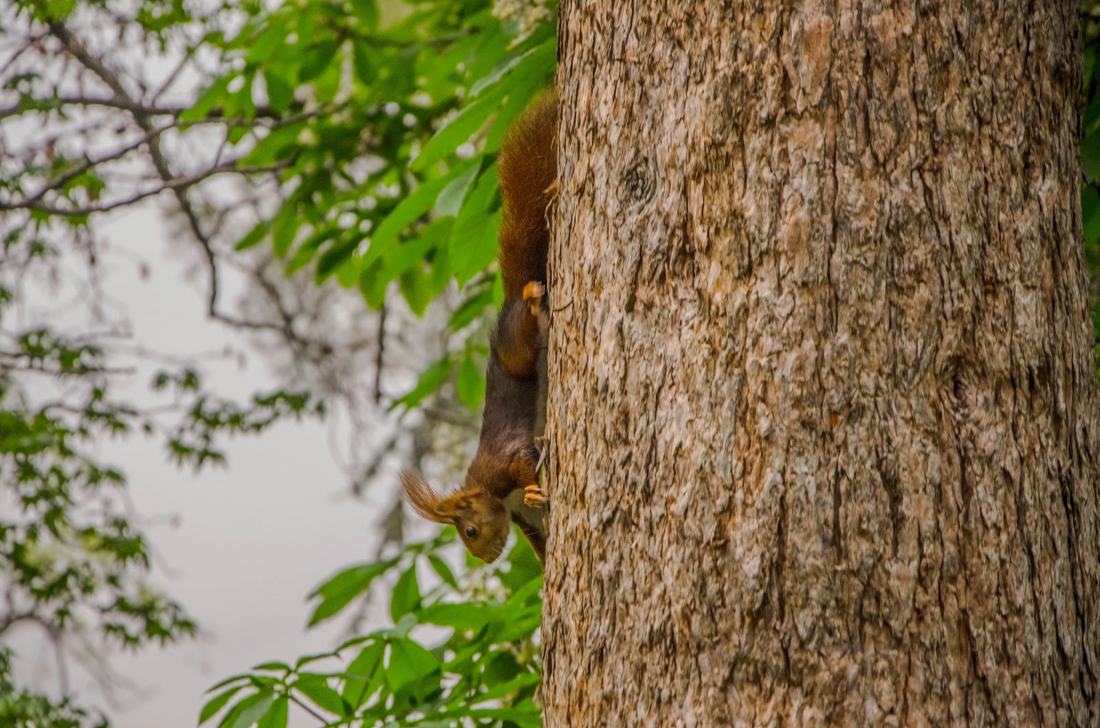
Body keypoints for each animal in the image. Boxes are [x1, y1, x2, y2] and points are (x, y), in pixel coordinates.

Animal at [400, 93, 557, 564]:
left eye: (469, 530)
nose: (484, 558)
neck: (494, 495)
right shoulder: (522, 519)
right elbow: (538, 538)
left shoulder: (503, 461)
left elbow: (525, 461)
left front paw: (537, 489)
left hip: (517, 346)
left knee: (526, 321)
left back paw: (531, 294)